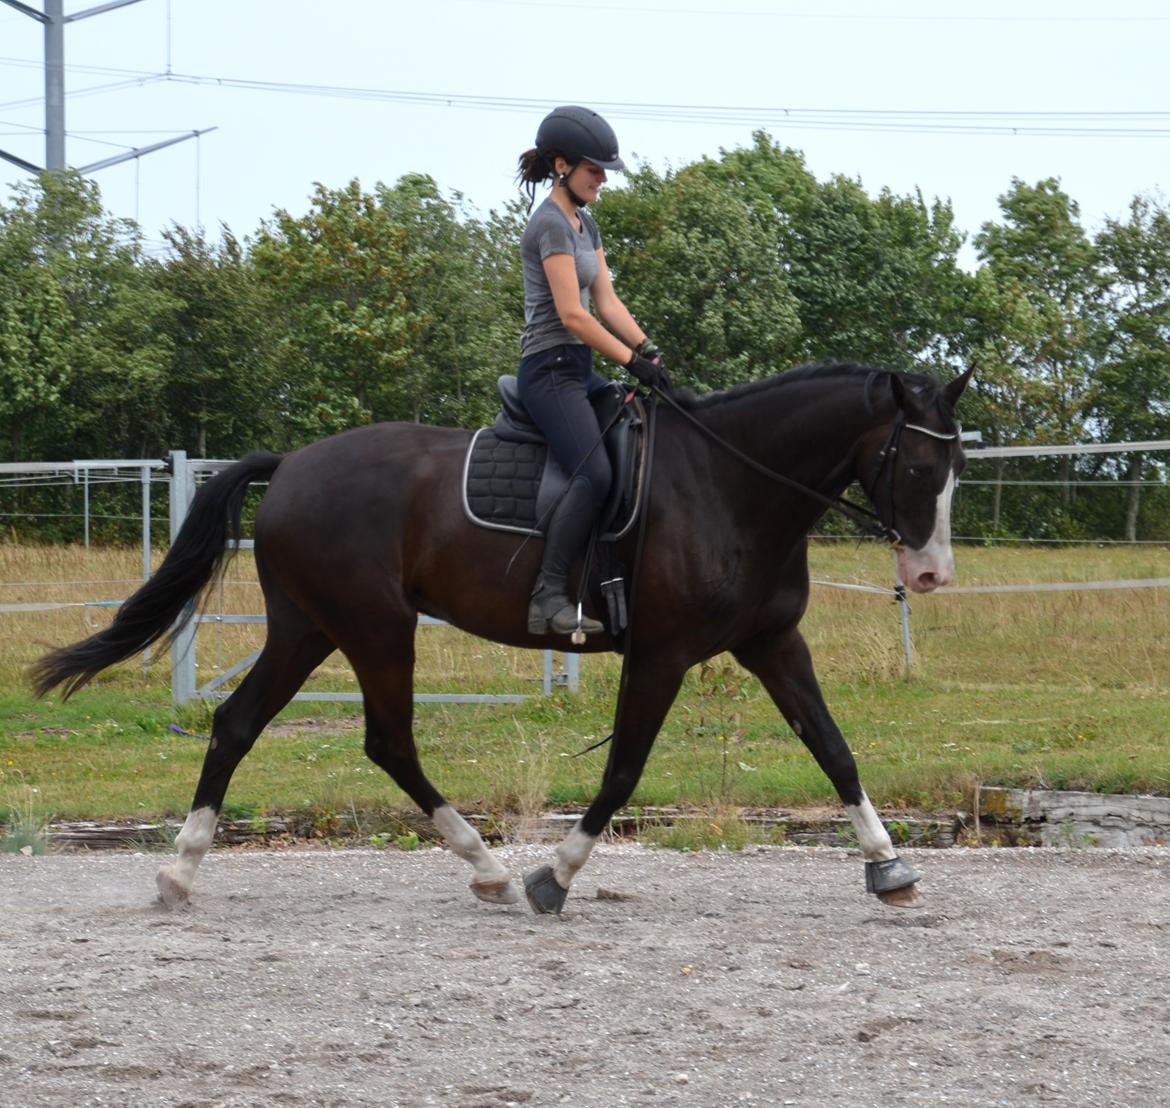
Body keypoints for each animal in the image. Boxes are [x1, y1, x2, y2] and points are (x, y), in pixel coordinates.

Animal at [32, 360, 973, 912]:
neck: (728, 484)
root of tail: (293, 463)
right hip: (374, 628)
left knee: (237, 726)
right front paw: (553, 875)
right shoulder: (661, 654)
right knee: (386, 742)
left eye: (957, 466)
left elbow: (834, 748)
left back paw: (180, 871)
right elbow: (624, 769)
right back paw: (485, 863)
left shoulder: (773, 643)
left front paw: (888, 865)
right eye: (920, 464)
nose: (931, 576)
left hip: (309, 627)